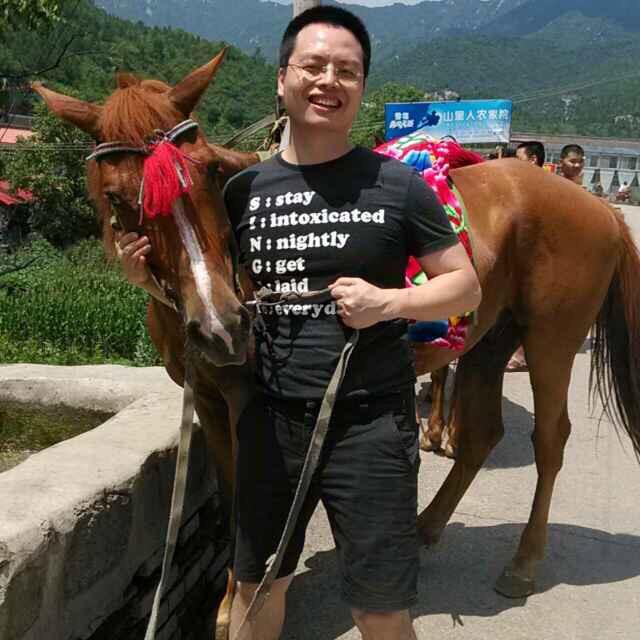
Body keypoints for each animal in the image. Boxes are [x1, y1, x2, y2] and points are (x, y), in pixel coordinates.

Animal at [33, 49, 260, 638]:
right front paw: (228, 600)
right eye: (116, 197)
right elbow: (231, 487)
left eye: (210, 169)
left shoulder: (247, 392)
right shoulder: (208, 396)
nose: (222, 326)